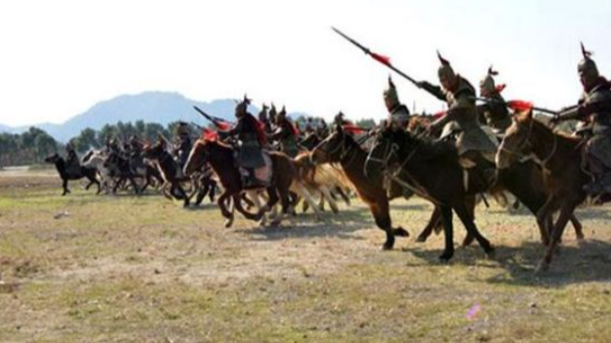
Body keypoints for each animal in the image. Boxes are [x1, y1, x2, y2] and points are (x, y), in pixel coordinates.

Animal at [498, 111, 592, 272]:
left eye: (516, 133)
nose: (499, 158)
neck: (562, 159)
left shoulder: (569, 199)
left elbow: (557, 228)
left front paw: (546, 261)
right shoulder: (556, 195)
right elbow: (541, 215)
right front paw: (547, 243)